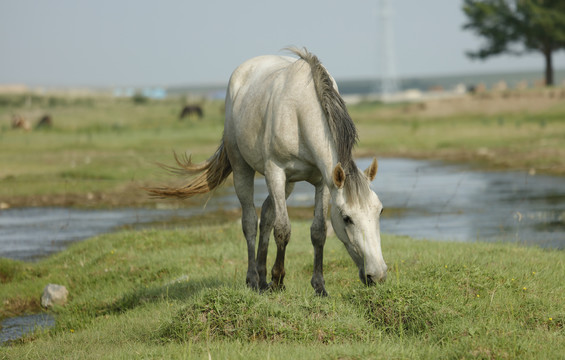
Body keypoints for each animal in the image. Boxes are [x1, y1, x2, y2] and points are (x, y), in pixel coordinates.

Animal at [145, 47, 386, 296]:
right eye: (347, 218)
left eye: (380, 211)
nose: (377, 275)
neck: (300, 113)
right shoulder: (276, 172)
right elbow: (283, 230)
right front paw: (278, 279)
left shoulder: (323, 181)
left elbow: (318, 231)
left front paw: (319, 286)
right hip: (244, 169)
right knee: (250, 221)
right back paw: (253, 279)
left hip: (288, 183)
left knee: (267, 216)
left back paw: (262, 277)